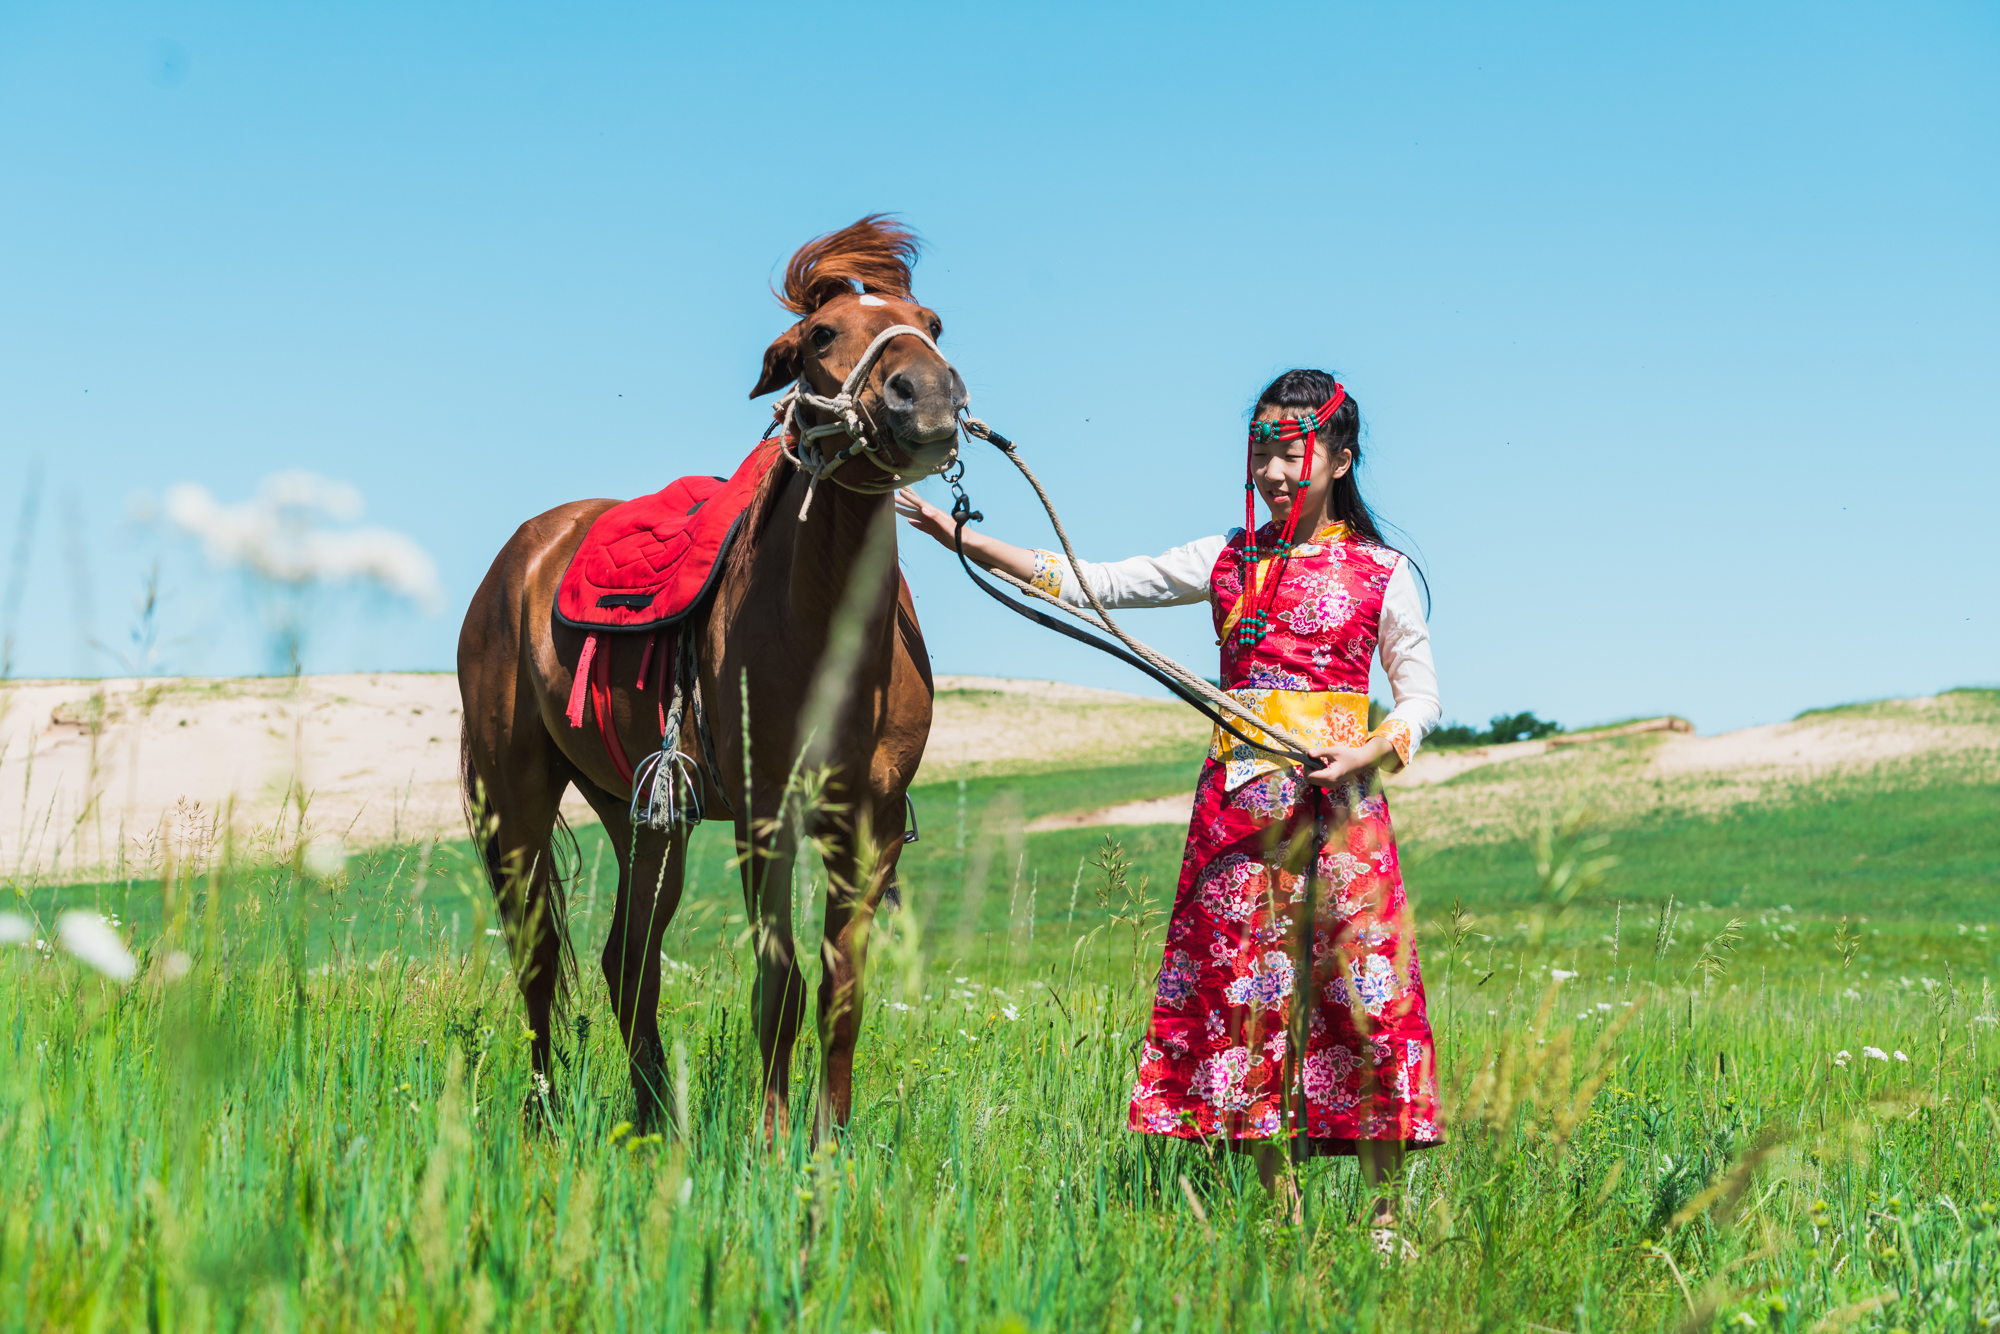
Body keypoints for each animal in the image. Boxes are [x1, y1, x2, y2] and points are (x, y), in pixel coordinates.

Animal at [464, 217, 972, 1136]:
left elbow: (841, 993)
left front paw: (830, 1142)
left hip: (642, 818)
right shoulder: (766, 817)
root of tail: (522, 555)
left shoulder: (868, 824)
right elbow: (780, 985)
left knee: (628, 961)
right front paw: (771, 1142)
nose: (926, 397)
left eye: (933, 322)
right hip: (514, 803)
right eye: (820, 337)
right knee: (539, 958)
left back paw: (655, 1122)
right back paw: (546, 1117)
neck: (823, 631)